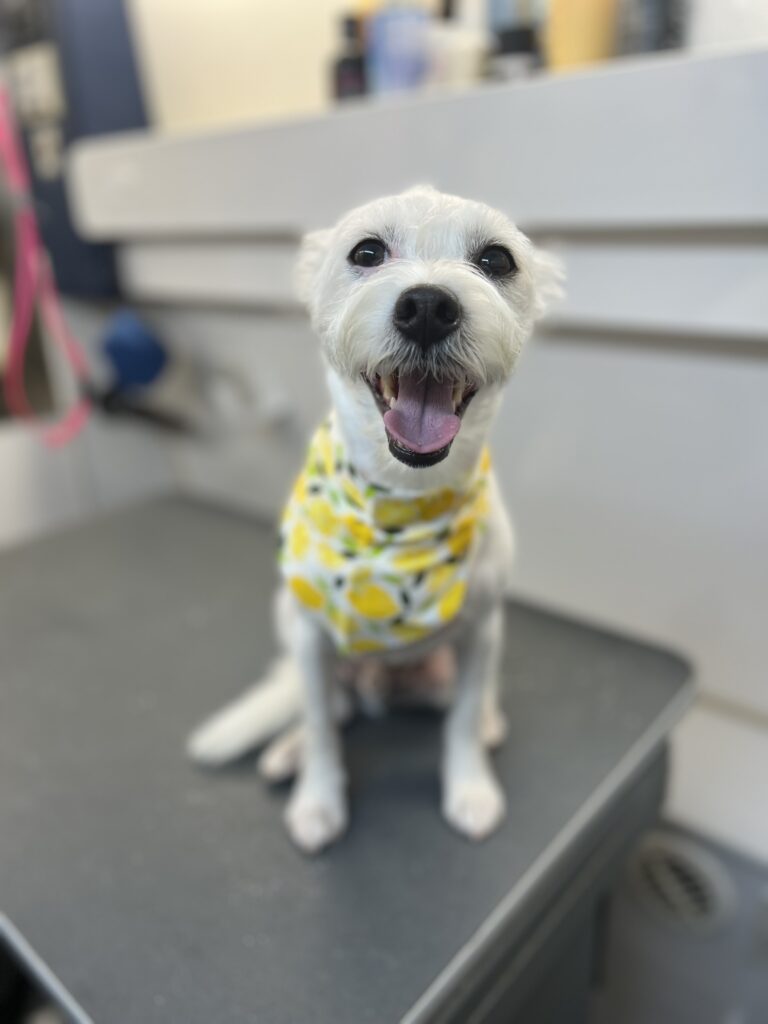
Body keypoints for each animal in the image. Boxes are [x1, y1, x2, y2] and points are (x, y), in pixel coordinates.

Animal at [189, 188, 561, 851]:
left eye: (497, 259)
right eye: (366, 252)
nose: (429, 306)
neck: (401, 508)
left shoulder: (479, 632)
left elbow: (462, 721)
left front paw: (470, 789)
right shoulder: (312, 639)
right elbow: (319, 724)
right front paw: (318, 799)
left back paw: (488, 720)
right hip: (293, 624)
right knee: (329, 709)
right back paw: (289, 750)